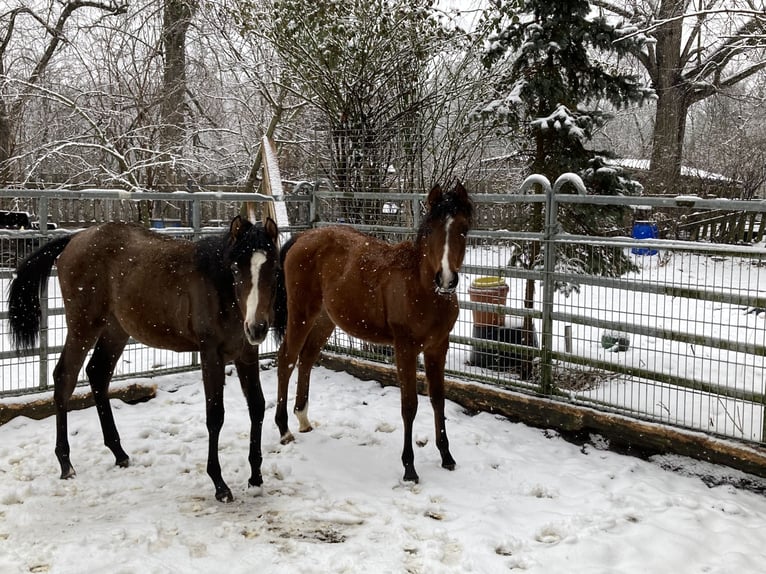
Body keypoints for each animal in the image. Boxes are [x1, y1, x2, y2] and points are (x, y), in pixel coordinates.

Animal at [7, 216, 280, 502]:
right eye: (236, 269)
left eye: (273, 269)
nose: (257, 328)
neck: (221, 289)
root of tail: (75, 238)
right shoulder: (211, 355)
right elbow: (215, 415)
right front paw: (220, 484)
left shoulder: (246, 354)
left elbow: (257, 406)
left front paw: (256, 477)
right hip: (83, 327)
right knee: (64, 378)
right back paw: (65, 462)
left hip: (115, 330)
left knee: (97, 373)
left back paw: (119, 453)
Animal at [273, 182, 473, 483]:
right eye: (431, 230)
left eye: (463, 228)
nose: (447, 279)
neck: (422, 287)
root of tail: (303, 237)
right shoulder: (405, 349)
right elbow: (409, 405)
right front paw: (409, 467)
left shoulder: (438, 347)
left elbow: (438, 399)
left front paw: (446, 456)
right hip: (301, 314)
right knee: (287, 358)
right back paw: (284, 429)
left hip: (324, 319)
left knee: (307, 358)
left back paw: (303, 419)